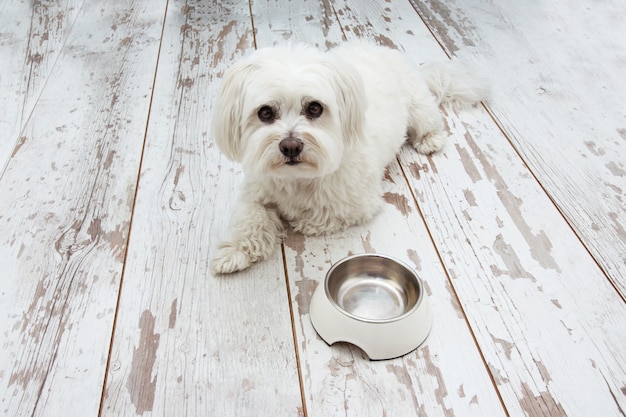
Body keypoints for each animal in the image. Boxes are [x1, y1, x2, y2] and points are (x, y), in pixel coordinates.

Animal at [210, 39, 488, 272]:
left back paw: (430, 139)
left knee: (430, 121)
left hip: (419, 106)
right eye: (265, 112)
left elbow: (318, 215)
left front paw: (300, 220)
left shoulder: (357, 204)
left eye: (315, 108)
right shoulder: (255, 190)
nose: (290, 146)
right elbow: (249, 218)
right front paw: (235, 251)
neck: (298, 179)